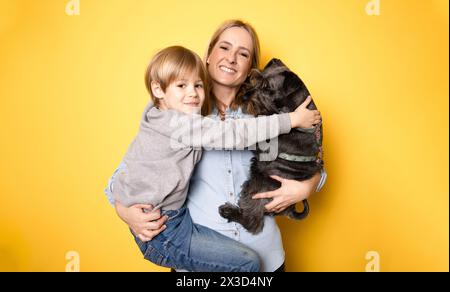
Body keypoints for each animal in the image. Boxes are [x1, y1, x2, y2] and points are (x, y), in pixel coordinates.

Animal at [218, 58, 324, 235]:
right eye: (256, 78)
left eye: (267, 87)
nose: (244, 97)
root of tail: (289, 209)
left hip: (257, 185)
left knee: (253, 221)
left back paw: (229, 212)